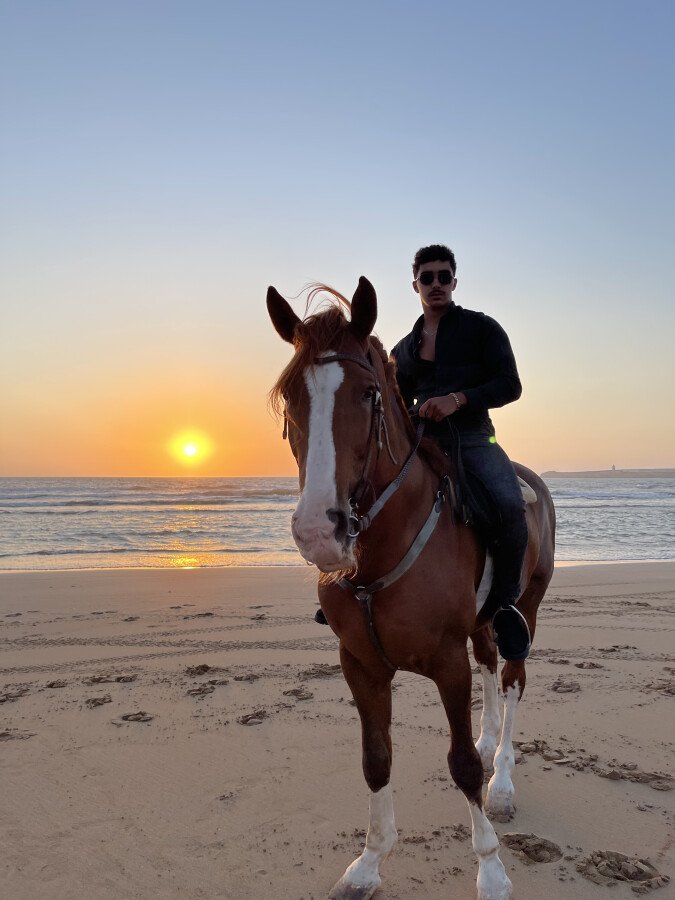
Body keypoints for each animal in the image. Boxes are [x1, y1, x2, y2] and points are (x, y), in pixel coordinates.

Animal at [266, 276, 556, 900]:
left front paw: (491, 870)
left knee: (513, 680)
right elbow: (376, 759)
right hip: (483, 621)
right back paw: (490, 738)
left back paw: (503, 781)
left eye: (369, 394)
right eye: (288, 397)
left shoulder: (445, 661)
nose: (319, 531)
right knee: (490, 664)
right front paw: (368, 864)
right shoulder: (360, 664)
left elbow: (462, 764)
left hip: (526, 608)